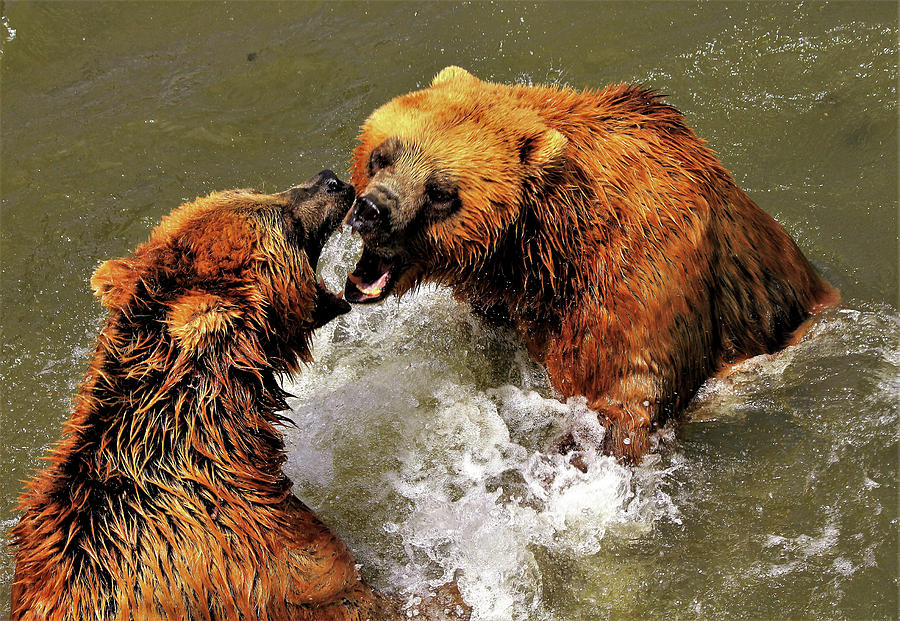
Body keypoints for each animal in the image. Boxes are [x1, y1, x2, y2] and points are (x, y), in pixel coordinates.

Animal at [342, 66, 836, 464]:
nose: (371, 209)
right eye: (383, 155)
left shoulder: (639, 283)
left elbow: (621, 401)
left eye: (440, 192)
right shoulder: (505, 300)